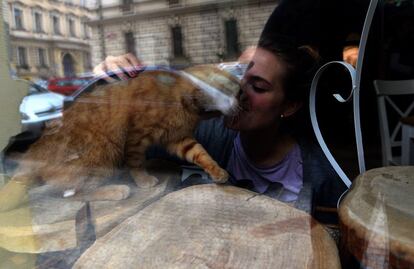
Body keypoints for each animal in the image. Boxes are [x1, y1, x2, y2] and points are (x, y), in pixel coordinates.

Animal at [0, 63, 239, 210]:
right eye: (235, 91)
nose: (240, 105)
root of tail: (32, 154)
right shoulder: (137, 136)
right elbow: (135, 161)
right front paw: (142, 179)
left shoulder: (179, 139)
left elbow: (201, 155)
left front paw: (217, 171)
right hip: (103, 151)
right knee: (74, 193)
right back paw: (115, 190)